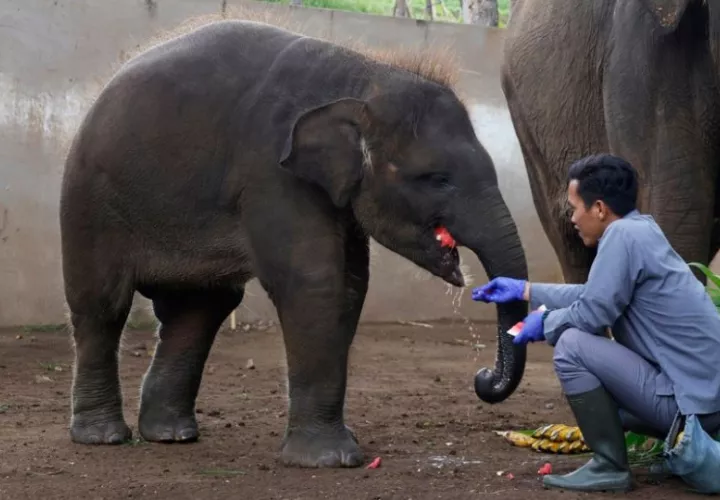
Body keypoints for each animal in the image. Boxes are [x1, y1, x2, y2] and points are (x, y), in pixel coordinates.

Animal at [59, 19, 529, 468]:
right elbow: (313, 282)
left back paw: (172, 434)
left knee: (199, 310)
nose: (482, 378)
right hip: (90, 202)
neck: (364, 76)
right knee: (102, 305)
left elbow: (351, 285)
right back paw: (104, 437)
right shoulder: (271, 173)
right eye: (436, 179)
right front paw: (330, 460)